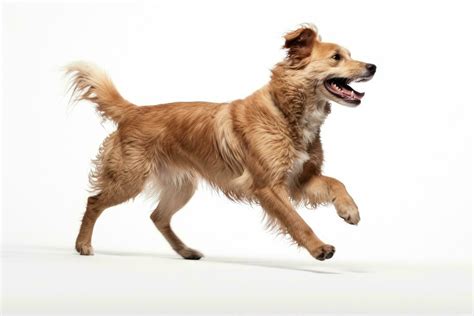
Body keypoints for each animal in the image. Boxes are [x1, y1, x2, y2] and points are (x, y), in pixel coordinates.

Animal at [66, 24, 376, 260]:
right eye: (336, 57)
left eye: (349, 55)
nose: (373, 66)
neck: (285, 113)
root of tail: (135, 111)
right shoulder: (268, 186)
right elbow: (296, 221)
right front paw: (318, 248)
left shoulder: (300, 179)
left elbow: (336, 183)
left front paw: (349, 209)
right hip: (129, 179)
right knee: (94, 202)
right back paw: (83, 244)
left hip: (181, 187)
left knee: (158, 217)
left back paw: (186, 251)